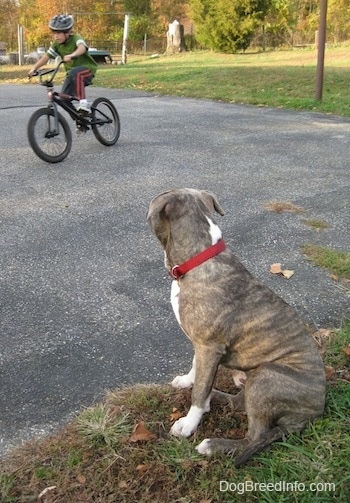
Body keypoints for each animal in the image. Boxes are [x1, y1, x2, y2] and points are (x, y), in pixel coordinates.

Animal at [146, 189, 326, 468]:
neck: (199, 258)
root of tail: (316, 412)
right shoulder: (202, 346)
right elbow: (197, 372)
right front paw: (188, 381)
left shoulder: (209, 347)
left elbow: (199, 392)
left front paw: (188, 424)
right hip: (252, 382)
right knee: (236, 403)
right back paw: (217, 397)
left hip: (265, 377)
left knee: (254, 437)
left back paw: (213, 445)